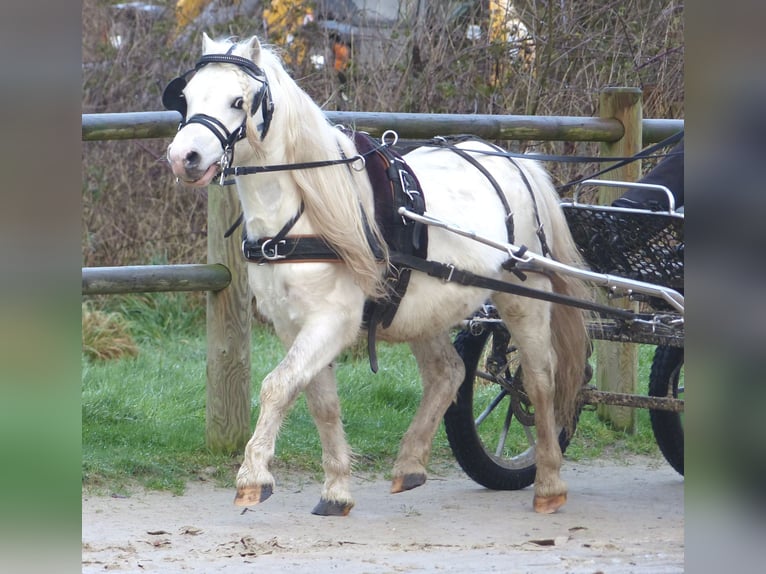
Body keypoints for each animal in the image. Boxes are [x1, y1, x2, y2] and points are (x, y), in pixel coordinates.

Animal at [165, 33, 592, 516]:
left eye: (238, 100)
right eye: (187, 97)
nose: (184, 157)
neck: (304, 213)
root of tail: (516, 163)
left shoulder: (332, 320)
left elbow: (278, 386)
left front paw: (253, 476)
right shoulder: (293, 325)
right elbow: (319, 401)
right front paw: (336, 490)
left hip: (525, 298)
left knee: (539, 382)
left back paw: (549, 483)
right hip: (426, 306)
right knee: (448, 373)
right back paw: (410, 462)